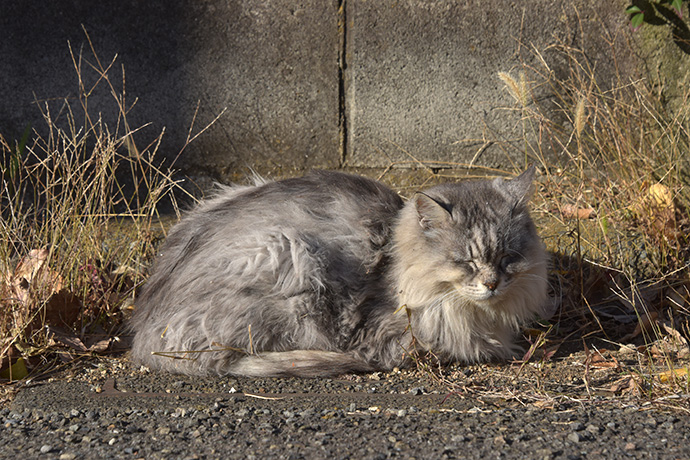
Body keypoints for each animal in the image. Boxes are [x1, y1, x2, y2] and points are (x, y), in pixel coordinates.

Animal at [130, 167, 548, 376]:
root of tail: (143, 334)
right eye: (465, 262)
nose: (492, 283)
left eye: (508, 257)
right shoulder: (387, 333)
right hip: (286, 251)